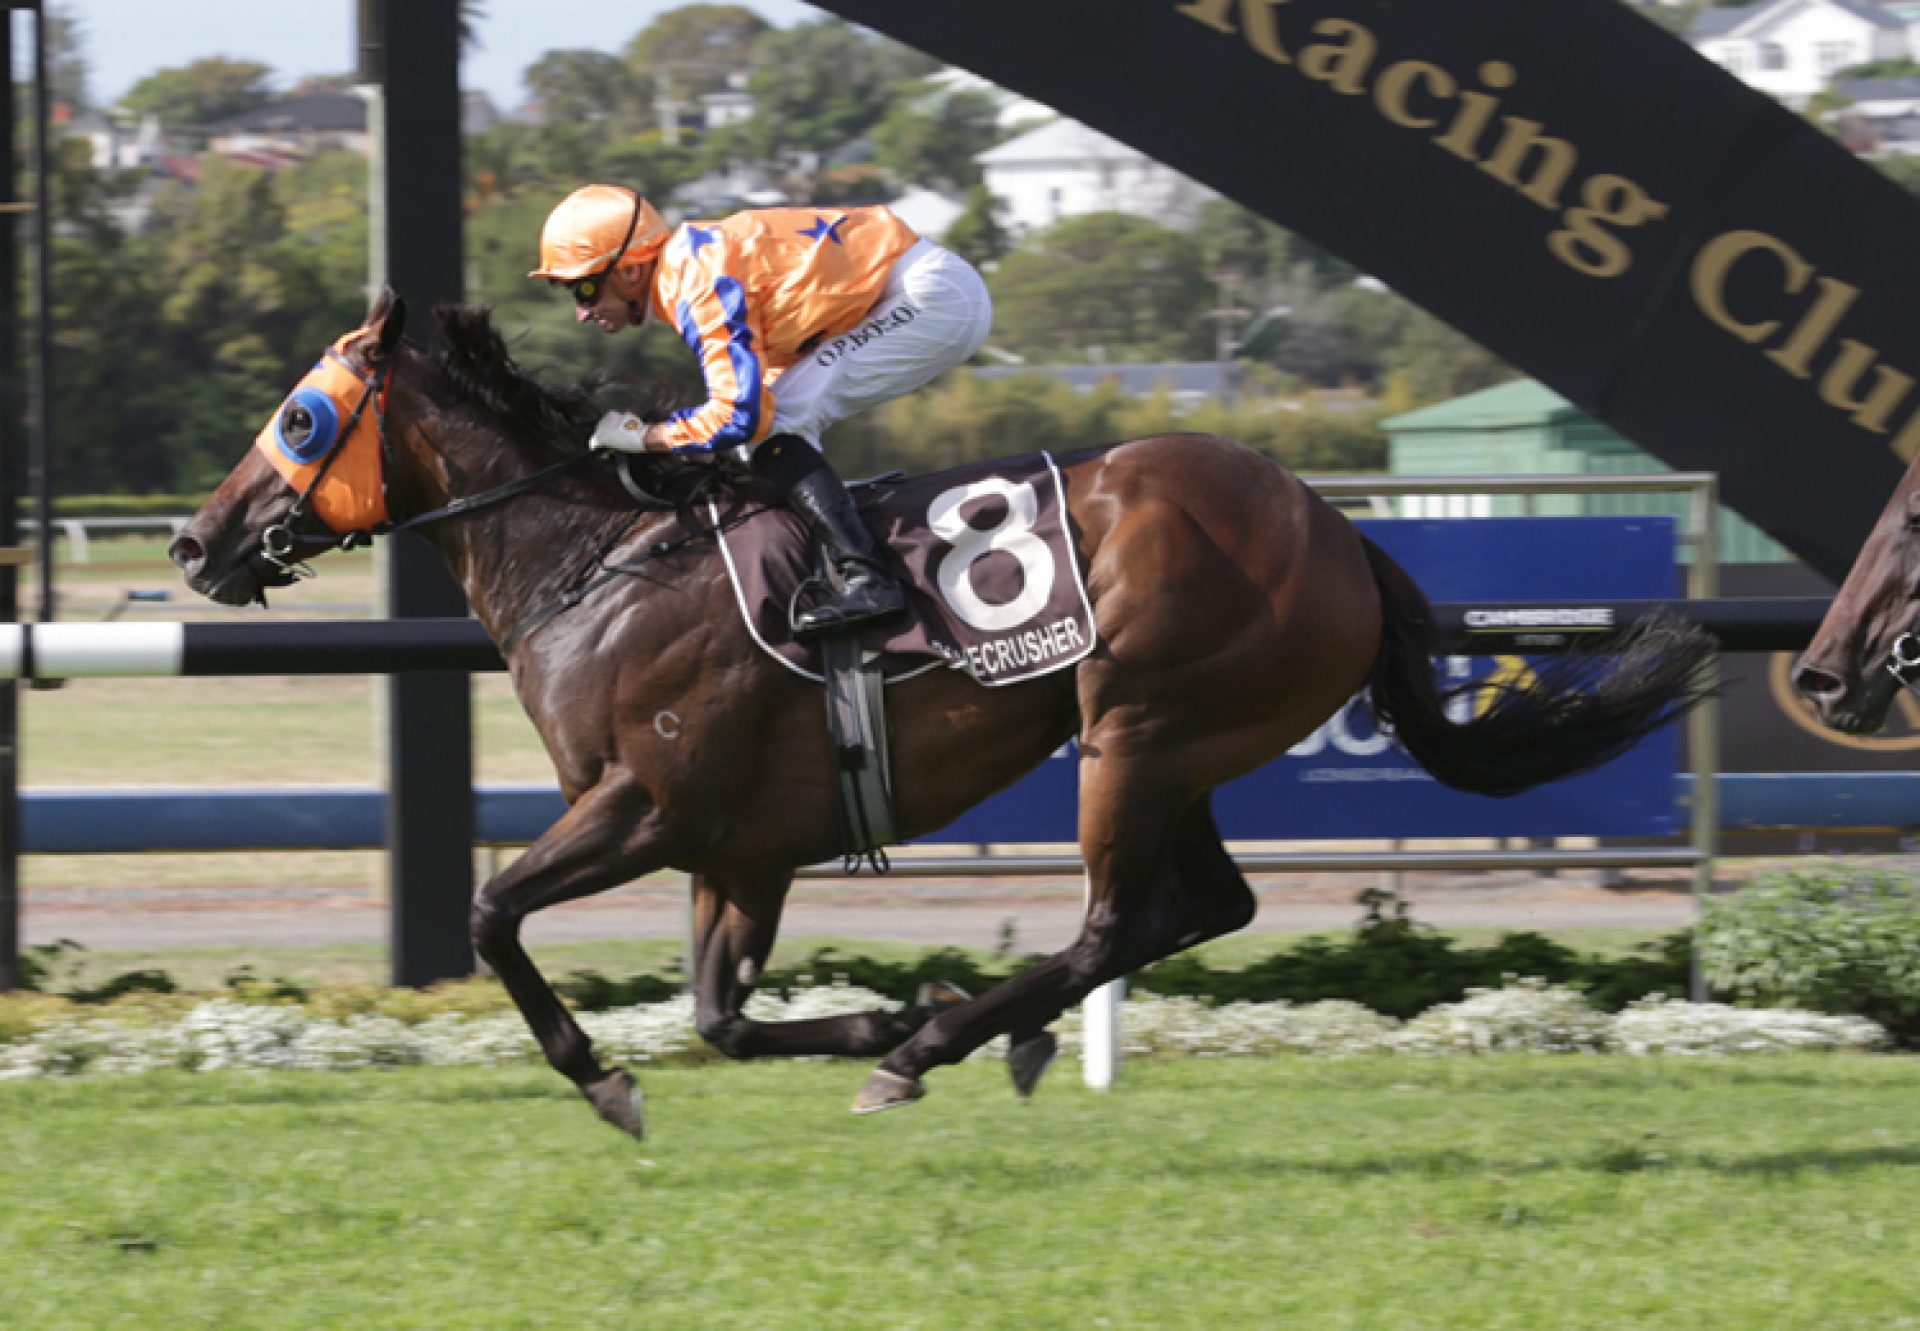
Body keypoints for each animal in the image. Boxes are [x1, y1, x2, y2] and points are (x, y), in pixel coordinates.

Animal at [168, 290, 1712, 1129]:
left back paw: (944, 1045)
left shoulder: (648, 807)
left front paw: (613, 1076)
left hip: (1137, 729)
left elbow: (494, 913)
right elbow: (722, 1016)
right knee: (1203, 907)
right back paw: (968, 1031)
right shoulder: (740, 848)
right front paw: (870, 1017)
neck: (602, 562)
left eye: (299, 417)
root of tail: (1336, 530)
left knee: (1120, 918)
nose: (194, 542)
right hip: (1180, 745)